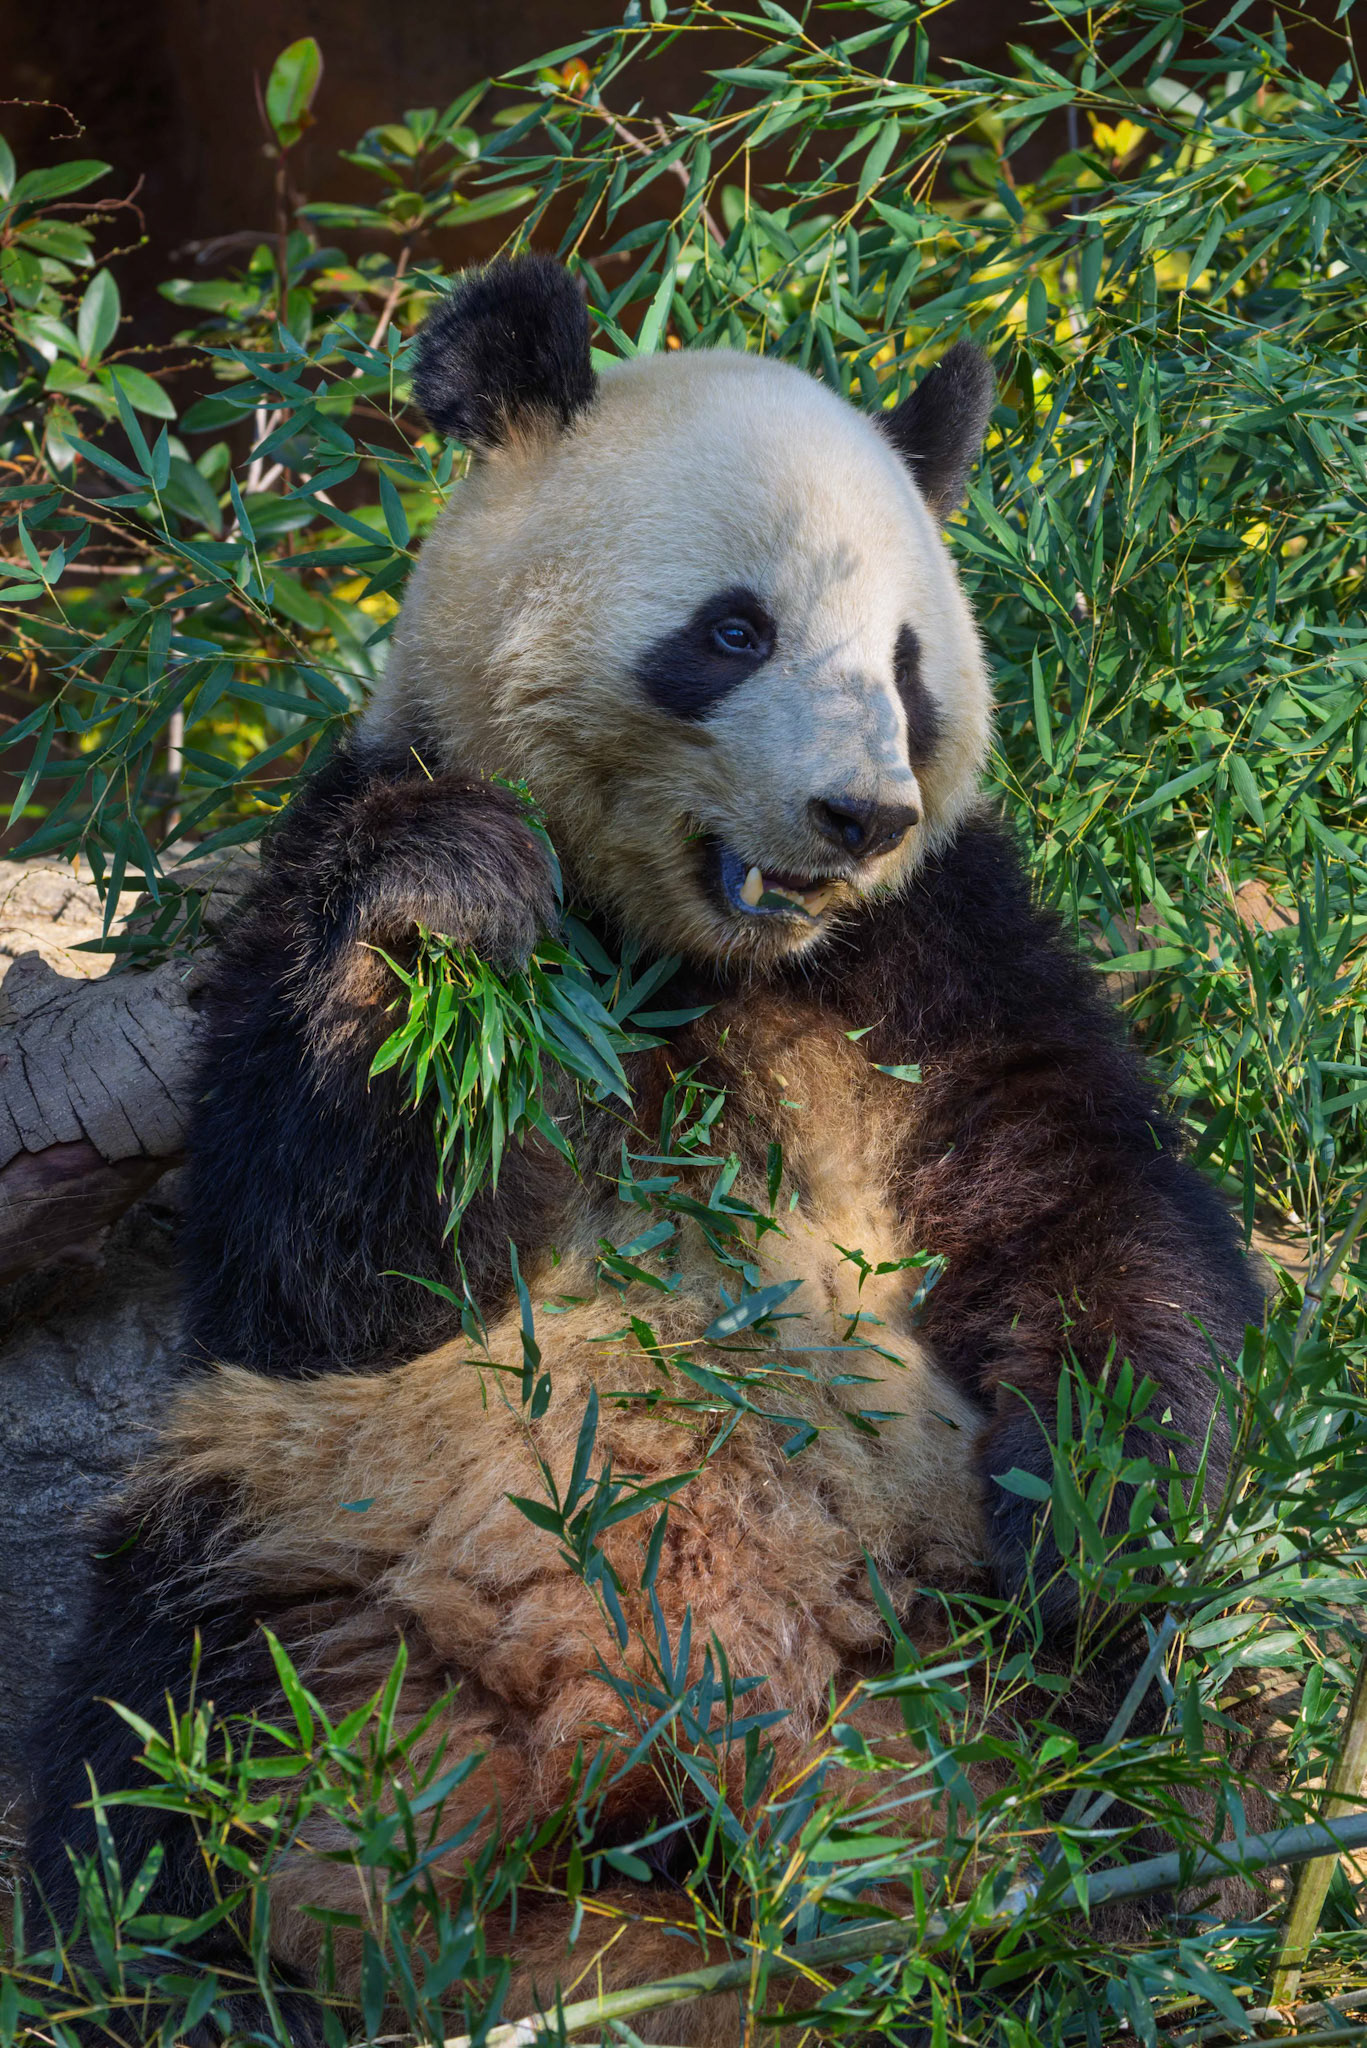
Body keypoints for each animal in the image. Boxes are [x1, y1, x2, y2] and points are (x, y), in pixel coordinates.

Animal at [26, 255, 1266, 2043]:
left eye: (906, 667)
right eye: (731, 630)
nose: (855, 818)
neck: (700, 957)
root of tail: (651, 1814)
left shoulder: (936, 954)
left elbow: (1076, 1207)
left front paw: (1092, 1515)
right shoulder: (322, 863)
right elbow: (340, 1266)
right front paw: (452, 913)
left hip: (941, 1646)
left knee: (1138, 1773)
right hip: (299, 1553)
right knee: (157, 1775)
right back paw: (211, 1970)